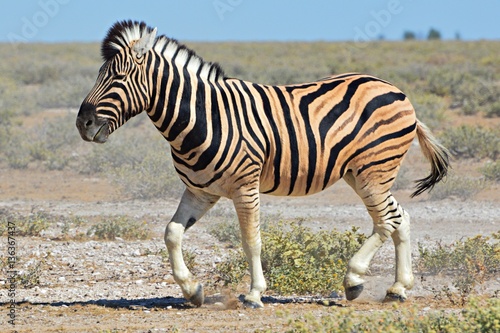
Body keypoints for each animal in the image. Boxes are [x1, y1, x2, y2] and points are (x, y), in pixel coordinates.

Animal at [77, 20, 450, 306]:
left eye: (118, 79)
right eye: (98, 75)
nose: (82, 123)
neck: (202, 117)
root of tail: (396, 90)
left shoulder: (245, 187)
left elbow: (251, 240)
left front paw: (255, 294)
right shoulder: (200, 191)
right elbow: (171, 233)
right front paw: (192, 289)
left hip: (374, 170)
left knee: (386, 221)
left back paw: (354, 279)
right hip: (361, 174)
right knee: (400, 218)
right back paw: (398, 288)